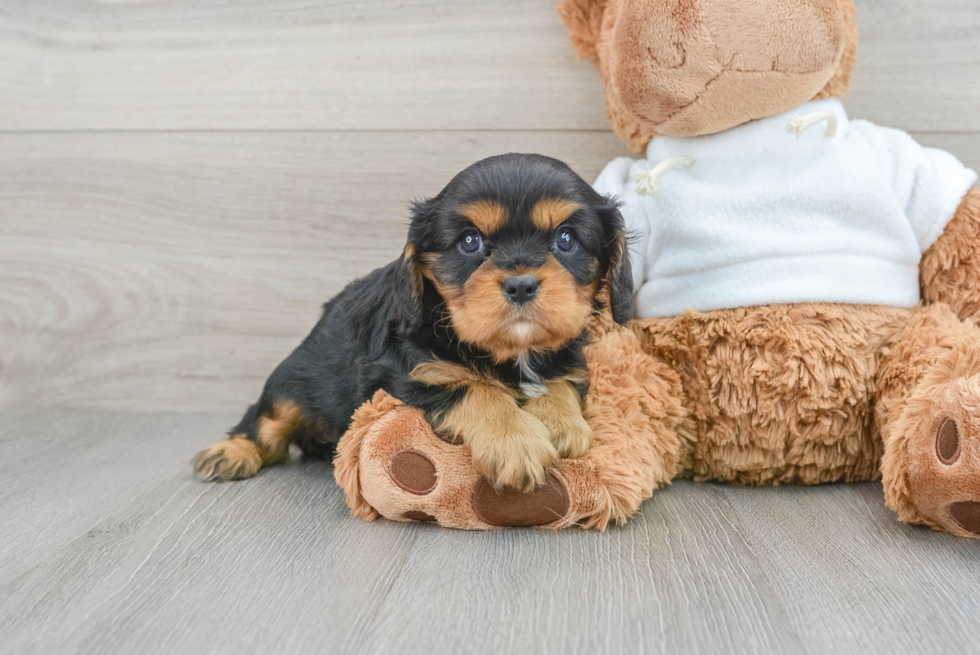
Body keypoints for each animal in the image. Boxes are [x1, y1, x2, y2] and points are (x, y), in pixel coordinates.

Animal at [195, 154, 632, 492]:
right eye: (470, 241)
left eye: (566, 239)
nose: (521, 285)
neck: (513, 351)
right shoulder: (405, 375)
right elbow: (473, 389)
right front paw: (516, 441)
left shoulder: (569, 356)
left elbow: (559, 381)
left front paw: (561, 423)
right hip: (290, 385)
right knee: (263, 421)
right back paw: (230, 453)